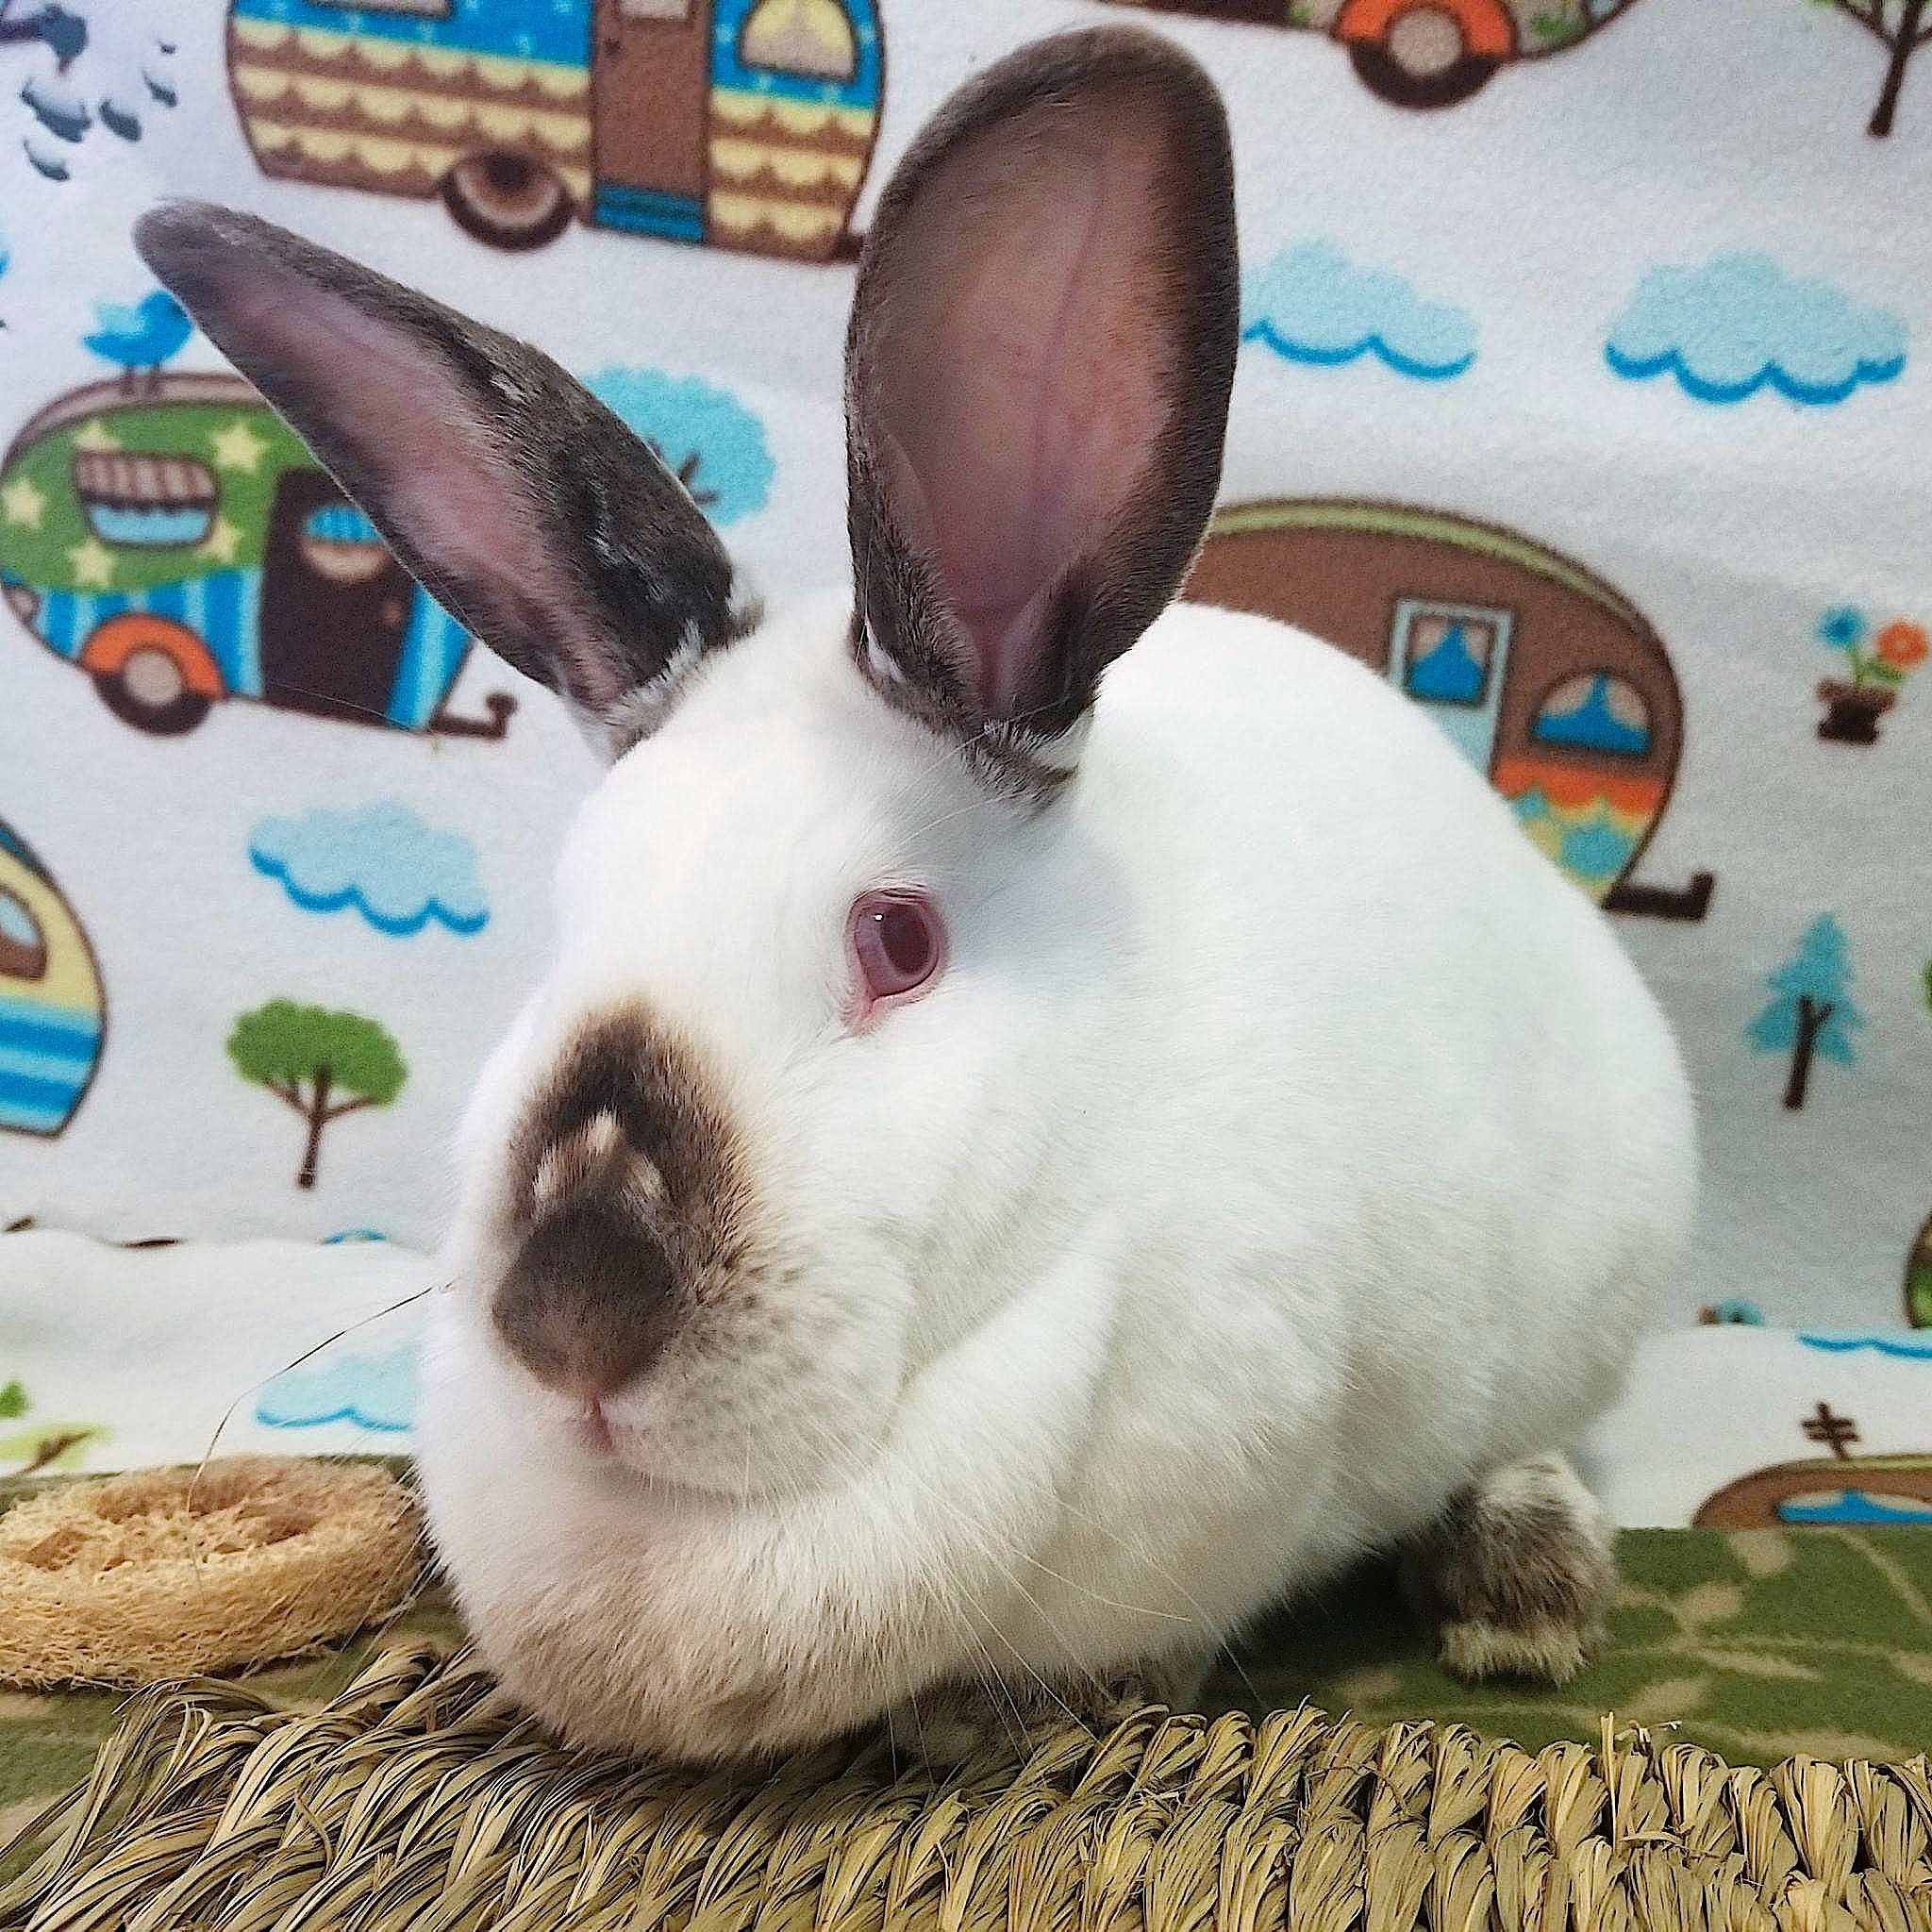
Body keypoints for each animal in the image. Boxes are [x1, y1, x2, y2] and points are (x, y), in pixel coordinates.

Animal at [136, 25, 1695, 1765]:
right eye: (563, 921)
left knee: (1531, 1434)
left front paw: (1012, 1712)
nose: (571, 1318)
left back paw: (1521, 1591)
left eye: (898, 940)